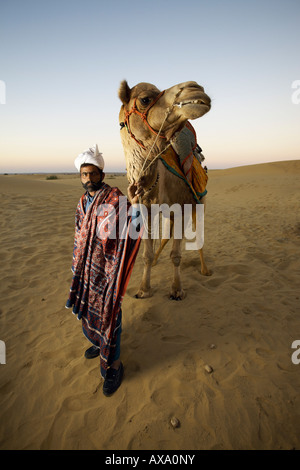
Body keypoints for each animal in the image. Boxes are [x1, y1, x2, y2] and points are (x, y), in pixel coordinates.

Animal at [118, 80, 212, 302]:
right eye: (145, 99)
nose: (195, 88)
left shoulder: (183, 207)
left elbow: (176, 255)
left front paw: (177, 290)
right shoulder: (146, 209)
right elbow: (147, 254)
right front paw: (144, 289)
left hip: (198, 204)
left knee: (198, 235)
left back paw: (205, 270)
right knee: (166, 236)